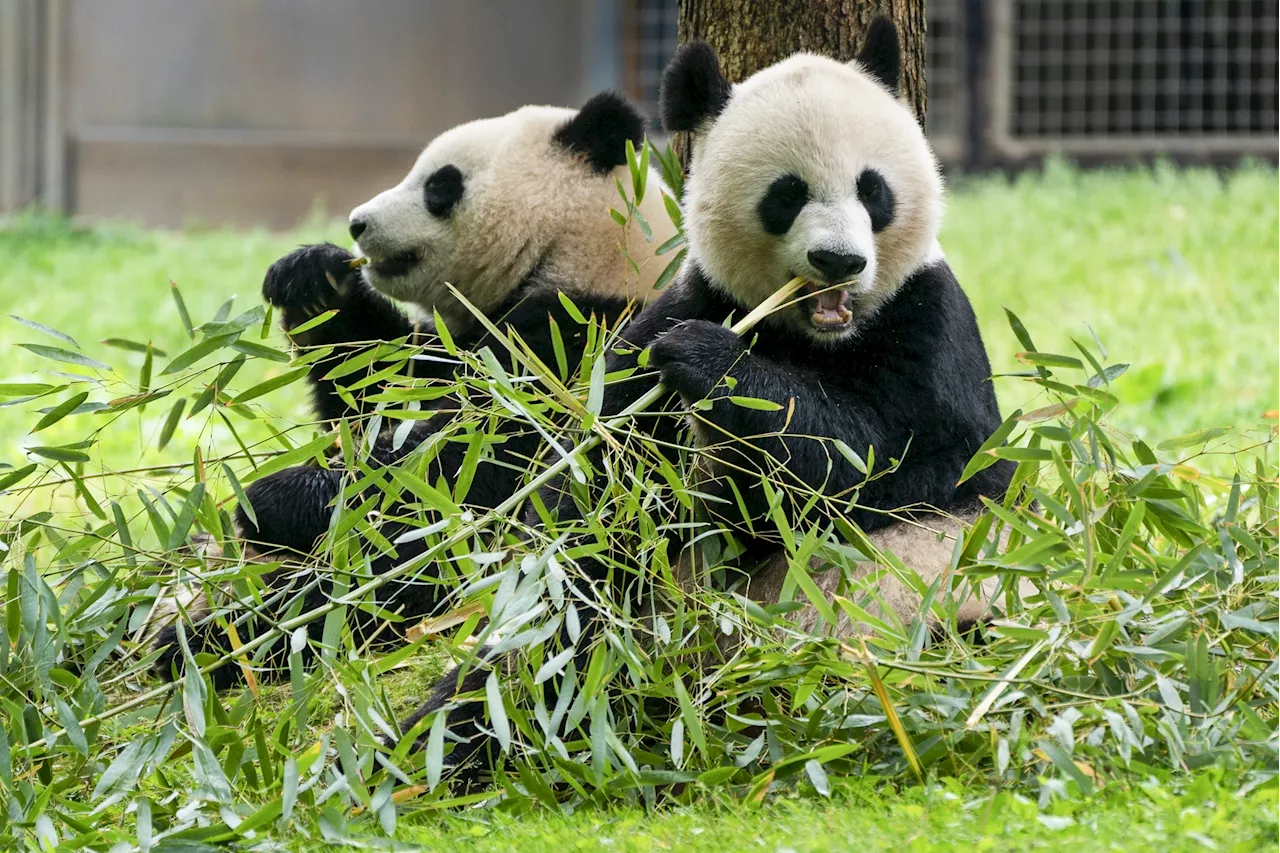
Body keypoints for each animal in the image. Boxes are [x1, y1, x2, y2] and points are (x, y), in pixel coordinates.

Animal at [147, 91, 680, 686]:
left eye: (439, 186)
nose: (356, 224)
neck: (582, 253)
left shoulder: (582, 343)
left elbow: (471, 466)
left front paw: (272, 498)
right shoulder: (457, 341)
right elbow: (373, 390)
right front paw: (312, 279)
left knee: (370, 589)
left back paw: (209, 642)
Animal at [394, 14, 1024, 783]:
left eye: (873, 191)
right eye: (787, 194)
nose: (839, 261)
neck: (812, 336)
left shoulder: (931, 327)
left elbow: (889, 462)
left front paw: (711, 363)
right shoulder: (674, 314)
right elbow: (605, 500)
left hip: (925, 606)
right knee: (557, 646)